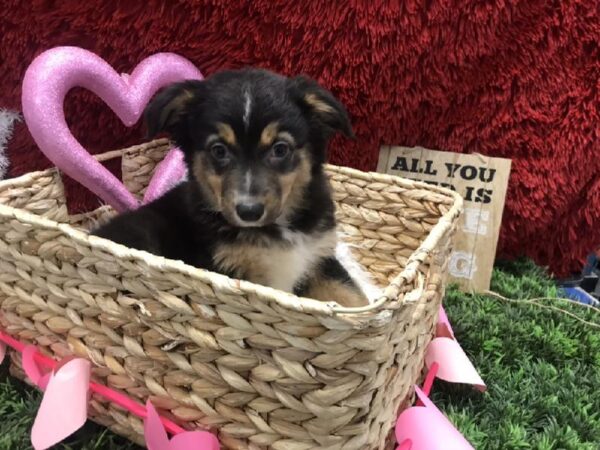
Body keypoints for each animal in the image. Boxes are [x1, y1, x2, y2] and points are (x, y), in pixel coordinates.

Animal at [92, 68, 370, 308]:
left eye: (280, 149)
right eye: (219, 150)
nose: (249, 212)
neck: (277, 229)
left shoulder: (319, 257)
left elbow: (354, 297)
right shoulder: (236, 271)